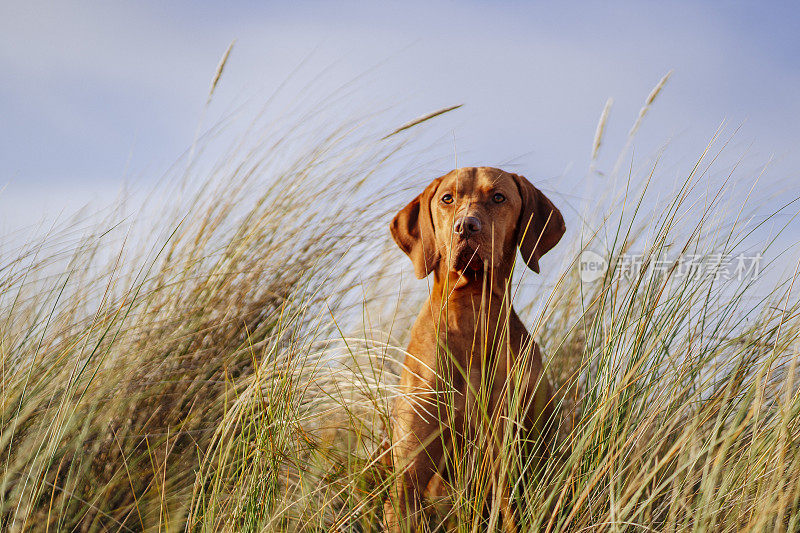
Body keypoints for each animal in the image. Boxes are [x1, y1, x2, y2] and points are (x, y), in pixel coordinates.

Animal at [382, 167, 564, 532]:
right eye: (447, 198)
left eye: (498, 197)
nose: (466, 226)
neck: (469, 311)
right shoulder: (408, 479)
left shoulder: (508, 467)